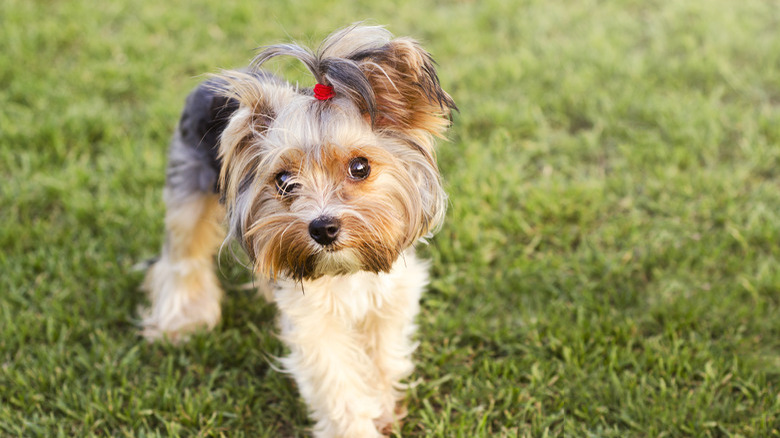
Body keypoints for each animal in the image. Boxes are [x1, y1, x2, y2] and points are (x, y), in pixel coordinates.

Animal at [141, 24, 458, 438]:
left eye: (360, 167)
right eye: (283, 180)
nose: (323, 228)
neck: (345, 269)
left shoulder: (391, 295)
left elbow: (382, 356)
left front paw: (383, 409)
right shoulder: (311, 318)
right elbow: (337, 384)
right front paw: (359, 427)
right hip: (188, 186)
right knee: (183, 255)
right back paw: (183, 321)